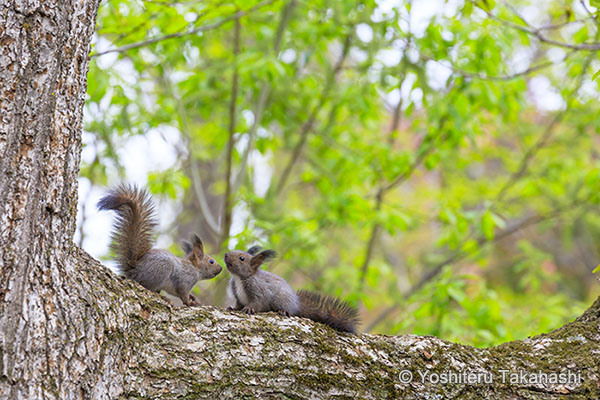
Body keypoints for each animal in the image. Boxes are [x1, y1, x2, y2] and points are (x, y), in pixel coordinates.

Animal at [224, 245, 356, 332]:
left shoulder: (259, 290)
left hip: (281, 299)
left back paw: (284, 311)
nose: (226, 255)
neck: (239, 278)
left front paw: (249, 308)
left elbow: (258, 302)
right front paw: (233, 307)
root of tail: (296, 303)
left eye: (241, 258)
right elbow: (238, 303)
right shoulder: (237, 295)